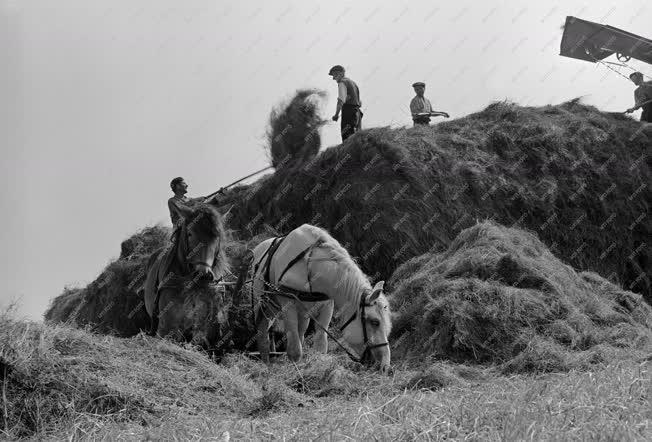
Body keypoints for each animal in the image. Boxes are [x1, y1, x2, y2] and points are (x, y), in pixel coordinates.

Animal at [250, 224, 392, 372]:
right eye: (375, 322)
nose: (385, 366)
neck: (310, 266)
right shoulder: (288, 305)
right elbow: (295, 350)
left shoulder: (327, 305)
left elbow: (320, 346)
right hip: (261, 306)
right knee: (263, 335)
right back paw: (266, 364)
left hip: (301, 312)